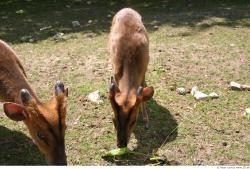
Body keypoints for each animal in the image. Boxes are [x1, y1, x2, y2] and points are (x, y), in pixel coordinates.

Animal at [108, 8, 153, 148]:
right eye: (113, 119)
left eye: (134, 120)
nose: (121, 144)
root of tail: (127, 8)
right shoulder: (115, 72)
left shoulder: (144, 69)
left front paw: (146, 121)